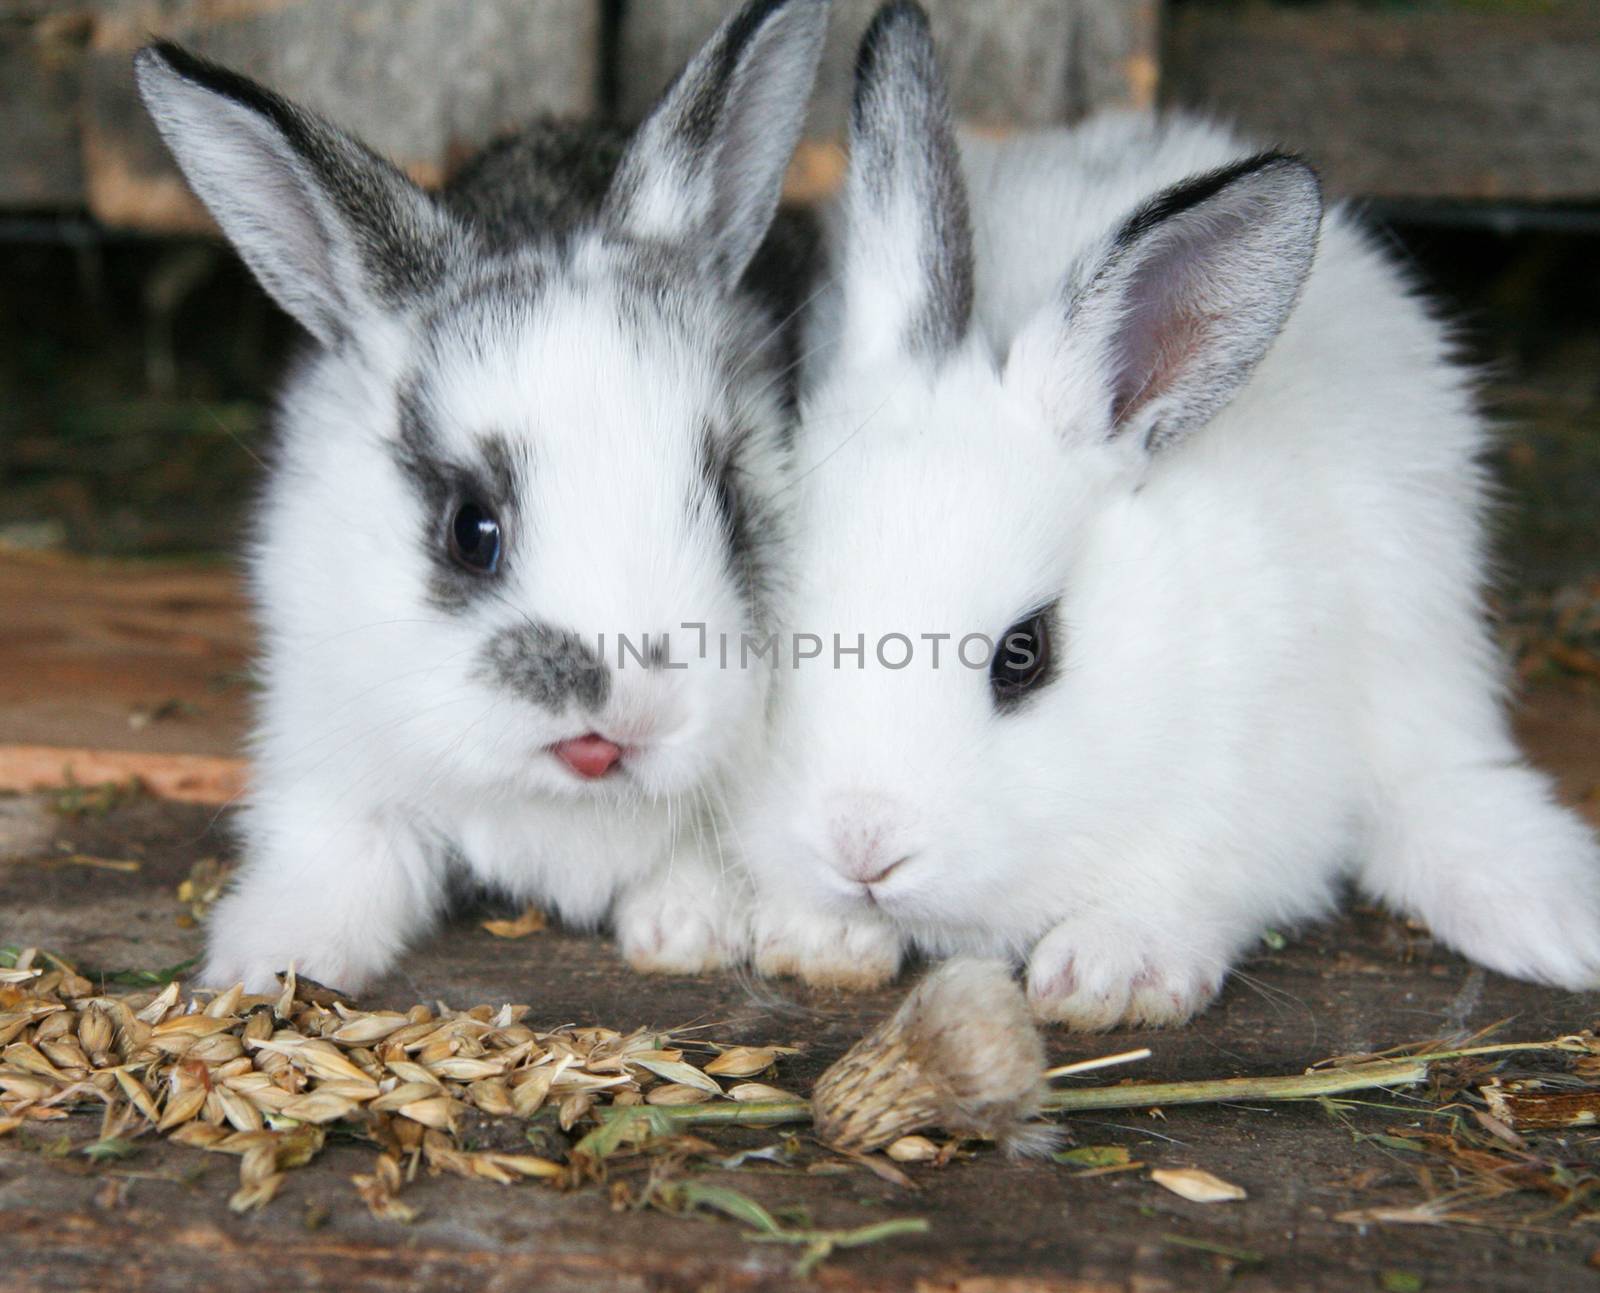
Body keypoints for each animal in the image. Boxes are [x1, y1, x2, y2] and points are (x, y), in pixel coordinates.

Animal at [134, 0, 838, 992]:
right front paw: (268, 959)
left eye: (732, 502)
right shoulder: (331, 755)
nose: (620, 722)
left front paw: (685, 930)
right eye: (471, 530)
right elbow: (340, 857)